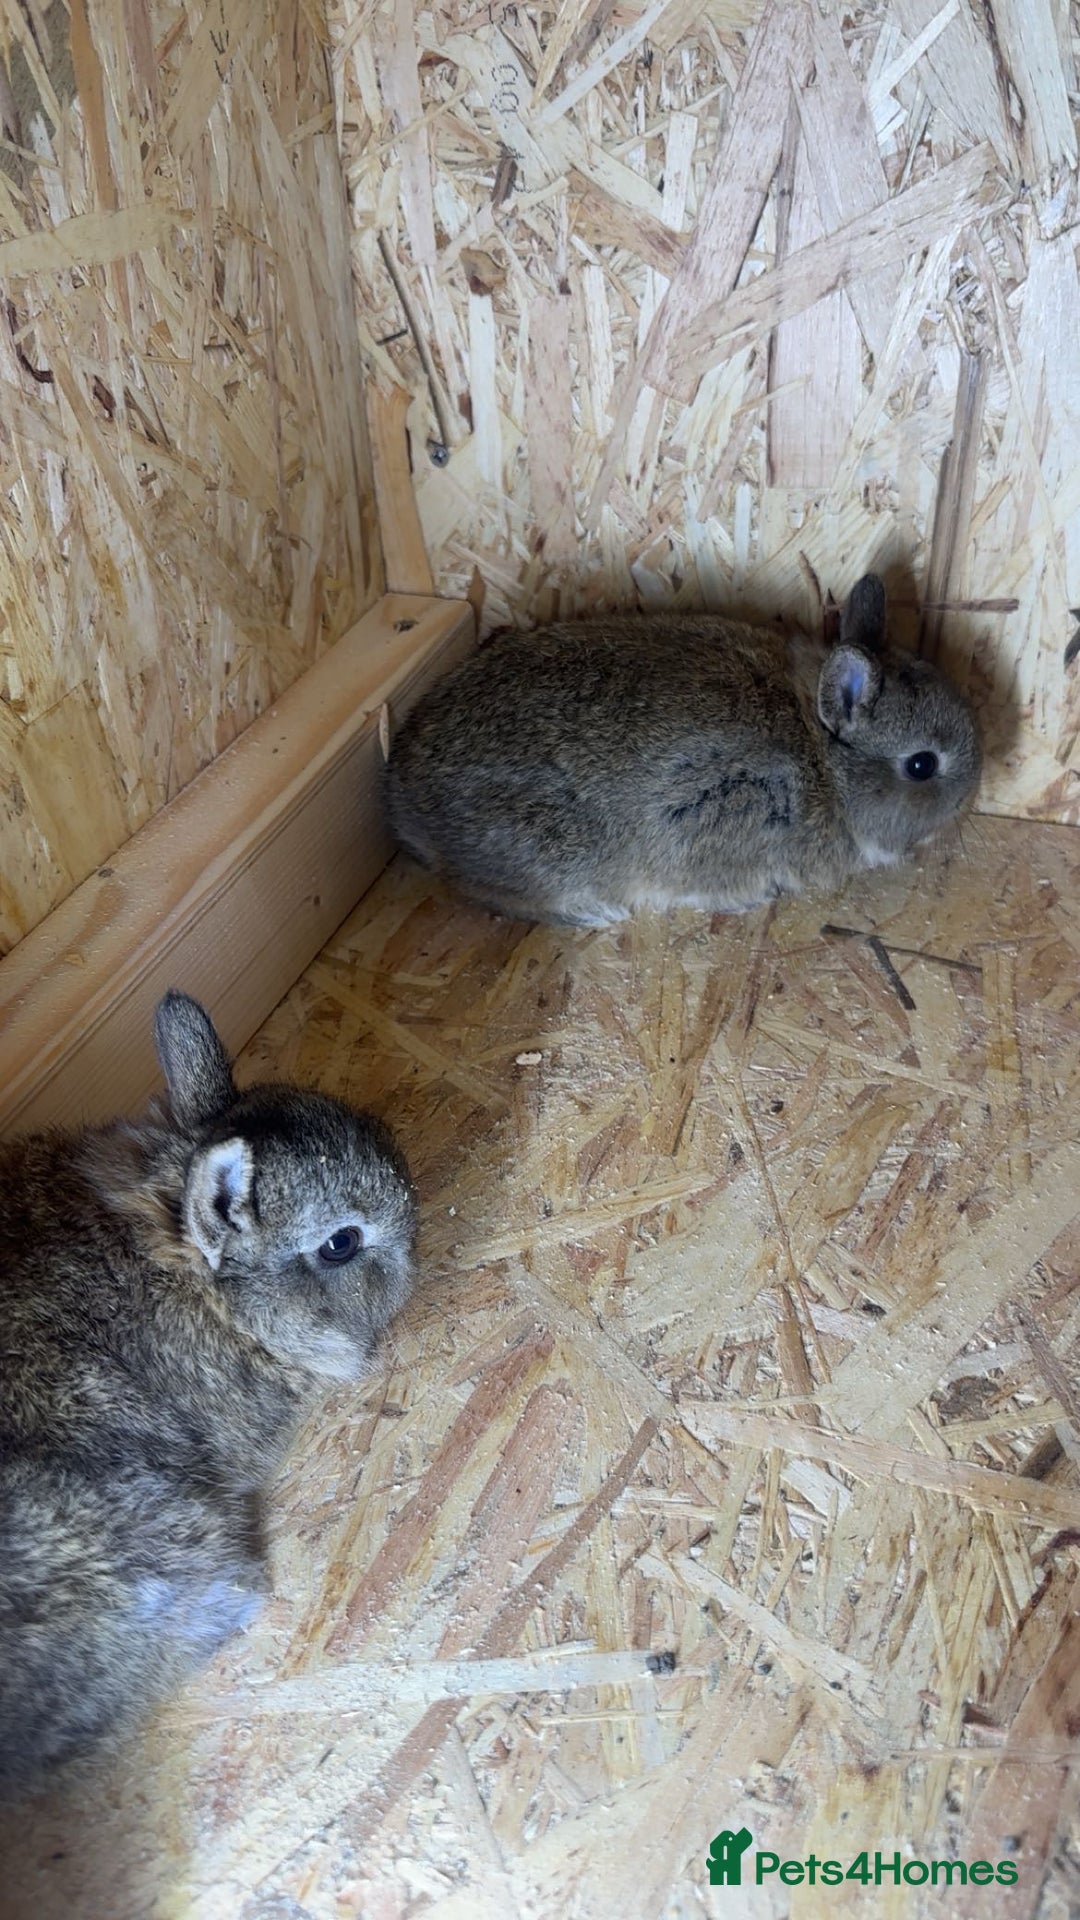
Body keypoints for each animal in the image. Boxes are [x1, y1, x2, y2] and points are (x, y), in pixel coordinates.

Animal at [384, 576, 982, 927]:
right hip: (549, 845)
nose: (969, 800)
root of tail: (403, 802)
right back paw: (593, 913)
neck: (824, 762)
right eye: (922, 765)